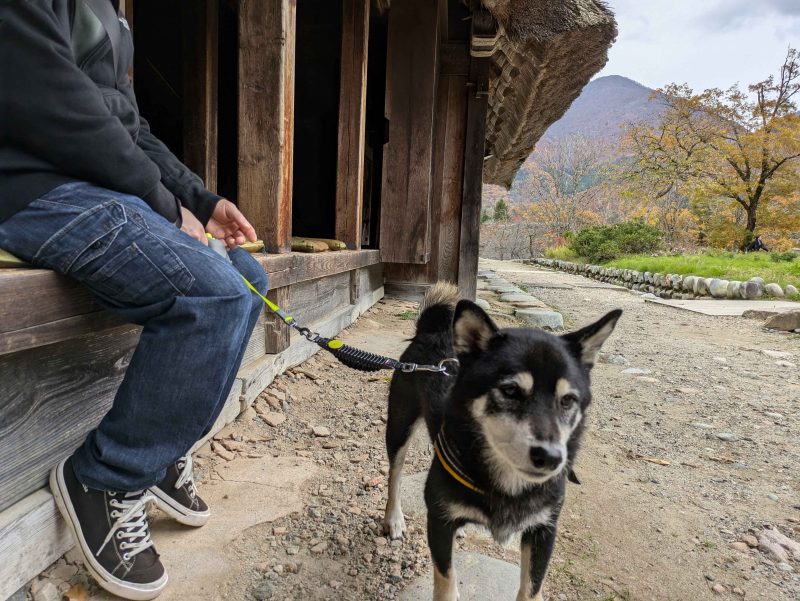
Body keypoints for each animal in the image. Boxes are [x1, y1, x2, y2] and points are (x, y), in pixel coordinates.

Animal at [384, 282, 620, 600]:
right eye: (510, 391)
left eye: (568, 400)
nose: (552, 458)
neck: (508, 484)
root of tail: (431, 331)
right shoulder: (439, 524)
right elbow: (446, 581)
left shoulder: (544, 530)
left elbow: (531, 588)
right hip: (399, 427)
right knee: (395, 475)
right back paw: (394, 519)